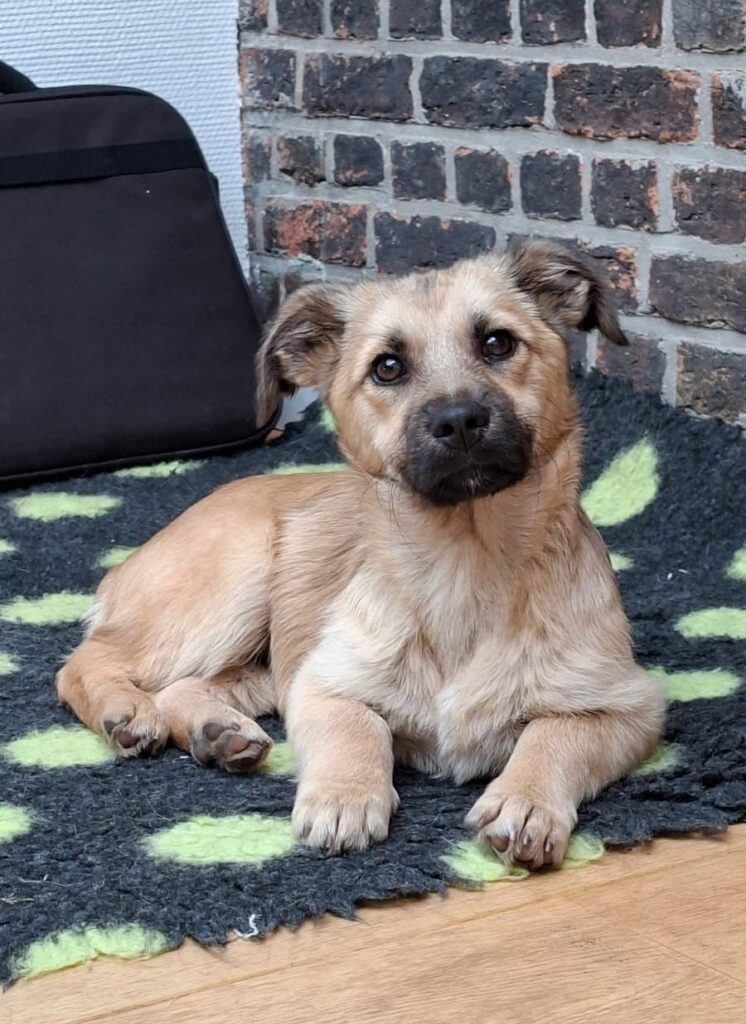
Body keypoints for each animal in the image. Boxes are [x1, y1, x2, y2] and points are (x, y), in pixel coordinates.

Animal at [57, 241, 665, 869]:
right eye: (387, 367)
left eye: (497, 342)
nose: (459, 421)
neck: (463, 562)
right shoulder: (324, 682)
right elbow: (356, 728)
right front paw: (344, 795)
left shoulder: (628, 707)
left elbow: (555, 735)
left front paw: (525, 802)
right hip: (231, 585)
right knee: (83, 662)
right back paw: (126, 712)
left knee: (186, 684)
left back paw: (217, 731)